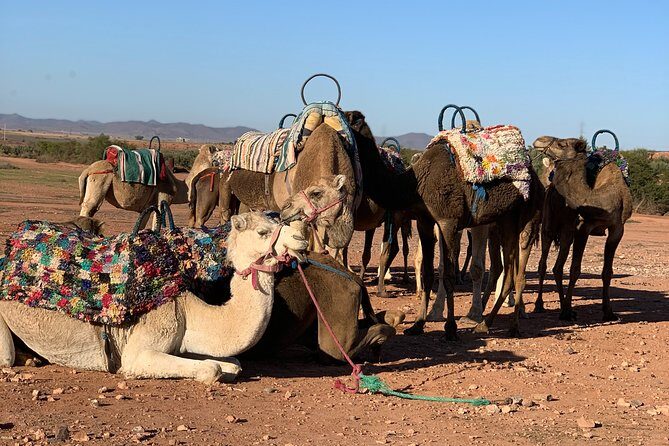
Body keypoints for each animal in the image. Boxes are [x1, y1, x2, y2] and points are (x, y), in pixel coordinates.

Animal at [0, 212, 308, 383]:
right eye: (263, 231)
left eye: (277, 221)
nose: (301, 238)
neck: (187, 308)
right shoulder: (137, 352)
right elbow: (212, 369)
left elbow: (233, 365)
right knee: (5, 358)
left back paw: (33, 357)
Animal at [345, 110, 543, 339]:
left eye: (346, 117)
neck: (414, 183)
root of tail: (538, 181)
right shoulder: (425, 220)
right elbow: (429, 271)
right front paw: (418, 324)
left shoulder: (448, 221)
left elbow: (448, 275)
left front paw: (450, 328)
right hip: (503, 222)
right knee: (506, 270)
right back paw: (487, 323)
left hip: (524, 219)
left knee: (516, 274)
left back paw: (509, 326)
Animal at [532, 136, 632, 321]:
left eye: (561, 144)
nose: (539, 140)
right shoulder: (583, 228)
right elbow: (575, 270)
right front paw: (565, 312)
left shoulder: (617, 229)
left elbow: (607, 272)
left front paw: (609, 312)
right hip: (548, 226)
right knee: (543, 264)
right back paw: (540, 305)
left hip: (566, 232)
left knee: (557, 266)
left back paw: (565, 306)